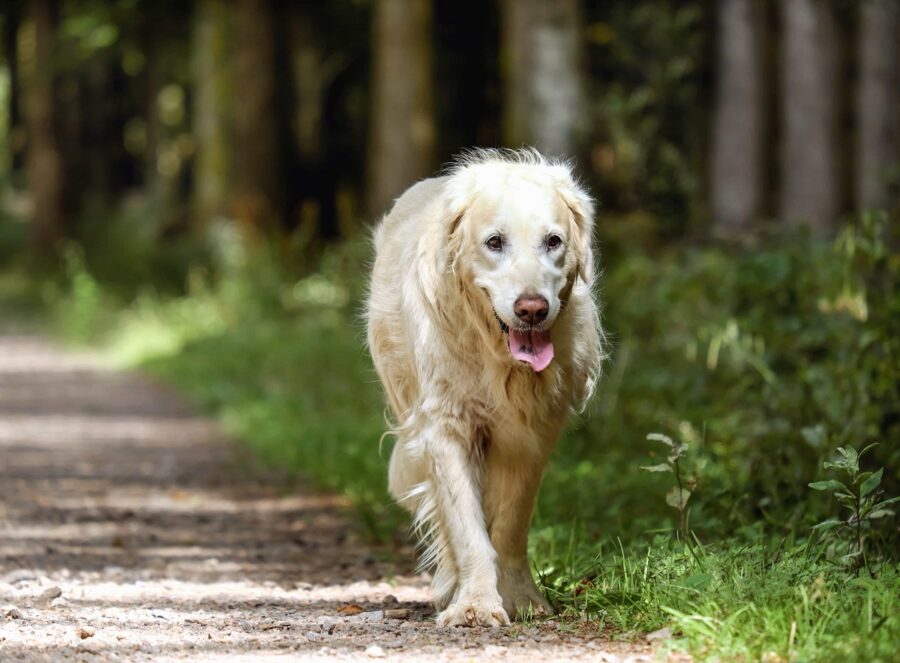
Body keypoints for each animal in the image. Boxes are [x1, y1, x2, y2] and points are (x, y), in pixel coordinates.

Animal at [366, 149, 604, 628]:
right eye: (495, 242)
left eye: (553, 241)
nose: (532, 309)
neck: (499, 358)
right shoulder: (445, 426)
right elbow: (466, 527)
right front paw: (474, 603)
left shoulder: (533, 435)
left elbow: (510, 524)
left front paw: (520, 597)